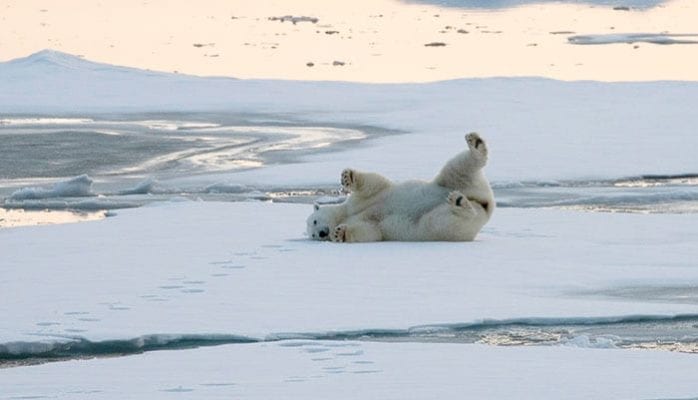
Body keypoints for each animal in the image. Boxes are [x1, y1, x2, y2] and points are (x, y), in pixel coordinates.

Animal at [306, 133, 494, 242]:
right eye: (313, 235)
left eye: (314, 221)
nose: (322, 233)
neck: (344, 214)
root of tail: (485, 202)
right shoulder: (367, 222)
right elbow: (368, 231)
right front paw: (340, 233)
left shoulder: (359, 201)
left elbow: (372, 184)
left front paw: (348, 176)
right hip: (439, 223)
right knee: (443, 221)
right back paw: (459, 202)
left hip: (452, 183)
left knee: (458, 167)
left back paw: (475, 144)